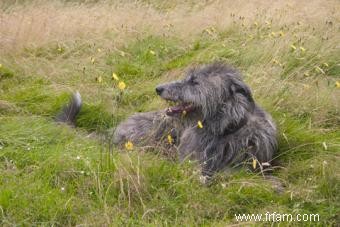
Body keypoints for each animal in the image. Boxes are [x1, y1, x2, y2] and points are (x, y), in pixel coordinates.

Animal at [57, 62, 276, 179]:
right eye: (188, 77)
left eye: (194, 82)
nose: (158, 88)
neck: (223, 129)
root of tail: (112, 133)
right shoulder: (190, 160)